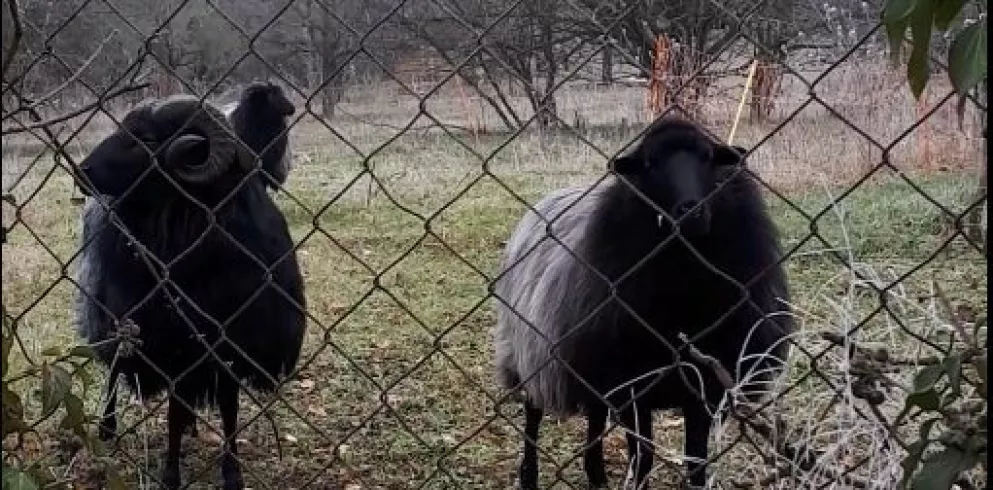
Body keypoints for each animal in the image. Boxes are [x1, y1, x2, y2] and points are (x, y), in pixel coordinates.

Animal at [75, 94, 306, 490]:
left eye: (148, 139)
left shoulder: (230, 348)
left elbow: (228, 410)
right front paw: (170, 475)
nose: (81, 171)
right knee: (114, 370)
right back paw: (107, 429)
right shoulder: (172, 349)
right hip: (112, 318)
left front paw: (232, 473)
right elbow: (172, 414)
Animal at [492, 116, 796, 490]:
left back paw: (596, 475)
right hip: (528, 351)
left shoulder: (706, 387)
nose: (691, 211)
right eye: (650, 163)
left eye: (708, 157)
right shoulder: (633, 388)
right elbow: (644, 458)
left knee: (594, 416)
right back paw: (529, 475)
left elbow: (696, 463)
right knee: (533, 413)